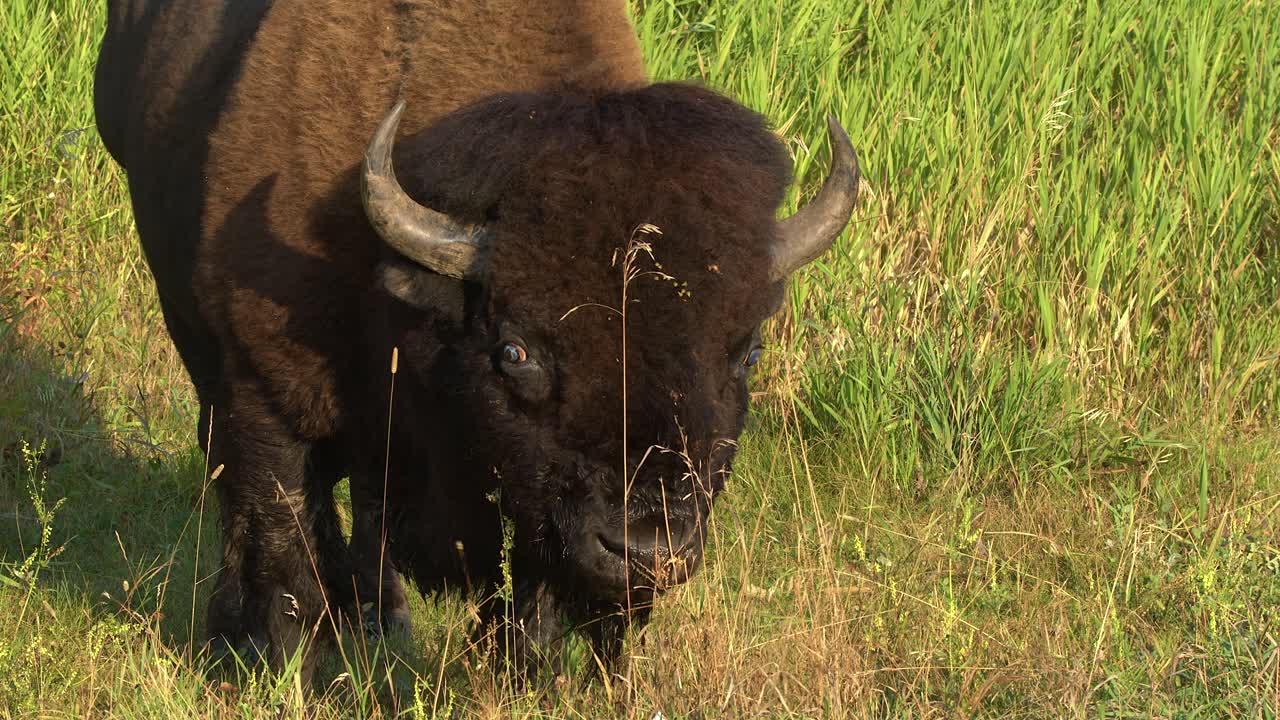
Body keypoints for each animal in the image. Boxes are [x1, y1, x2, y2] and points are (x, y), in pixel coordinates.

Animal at [94, 0, 859, 673]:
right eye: (515, 351)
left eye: (747, 350)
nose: (645, 550)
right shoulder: (264, 389)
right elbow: (280, 530)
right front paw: (284, 663)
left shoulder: (531, 493)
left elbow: (525, 580)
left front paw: (524, 669)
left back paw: (382, 620)